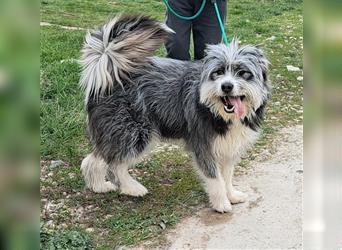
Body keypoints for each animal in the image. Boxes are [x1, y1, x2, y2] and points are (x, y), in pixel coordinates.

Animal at [80, 14, 270, 212]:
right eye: (218, 72)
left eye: (243, 73)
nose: (226, 86)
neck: (218, 113)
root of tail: (110, 75)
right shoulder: (203, 145)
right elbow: (215, 178)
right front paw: (221, 203)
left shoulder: (228, 146)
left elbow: (227, 176)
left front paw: (231, 195)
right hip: (134, 132)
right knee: (115, 163)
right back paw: (132, 188)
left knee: (94, 159)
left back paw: (99, 186)